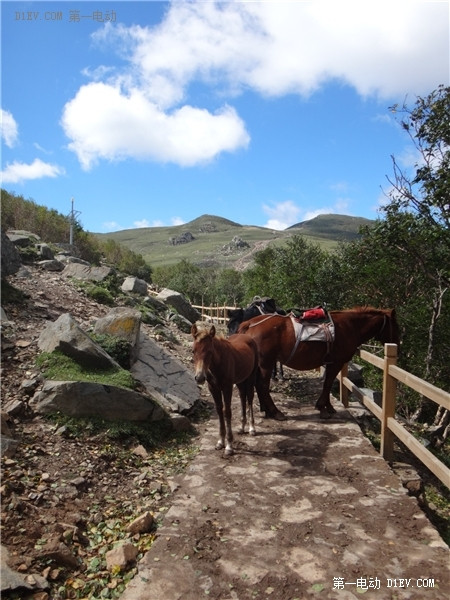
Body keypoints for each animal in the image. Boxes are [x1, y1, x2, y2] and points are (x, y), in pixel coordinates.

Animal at [192, 324, 258, 454]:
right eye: (193, 351)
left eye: (210, 351)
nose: (200, 377)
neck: (218, 364)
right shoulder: (213, 388)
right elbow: (219, 410)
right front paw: (220, 442)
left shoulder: (227, 388)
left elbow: (227, 412)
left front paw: (229, 446)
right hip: (240, 380)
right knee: (242, 396)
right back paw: (242, 427)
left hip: (251, 377)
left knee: (249, 397)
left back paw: (251, 428)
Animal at [237, 308, 400, 420]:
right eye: (396, 326)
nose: (397, 344)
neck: (350, 326)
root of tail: (250, 323)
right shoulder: (337, 363)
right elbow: (328, 383)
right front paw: (323, 408)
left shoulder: (331, 363)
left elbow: (327, 383)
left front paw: (328, 406)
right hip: (266, 363)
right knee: (263, 386)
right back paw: (275, 412)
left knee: (258, 385)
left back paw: (266, 410)